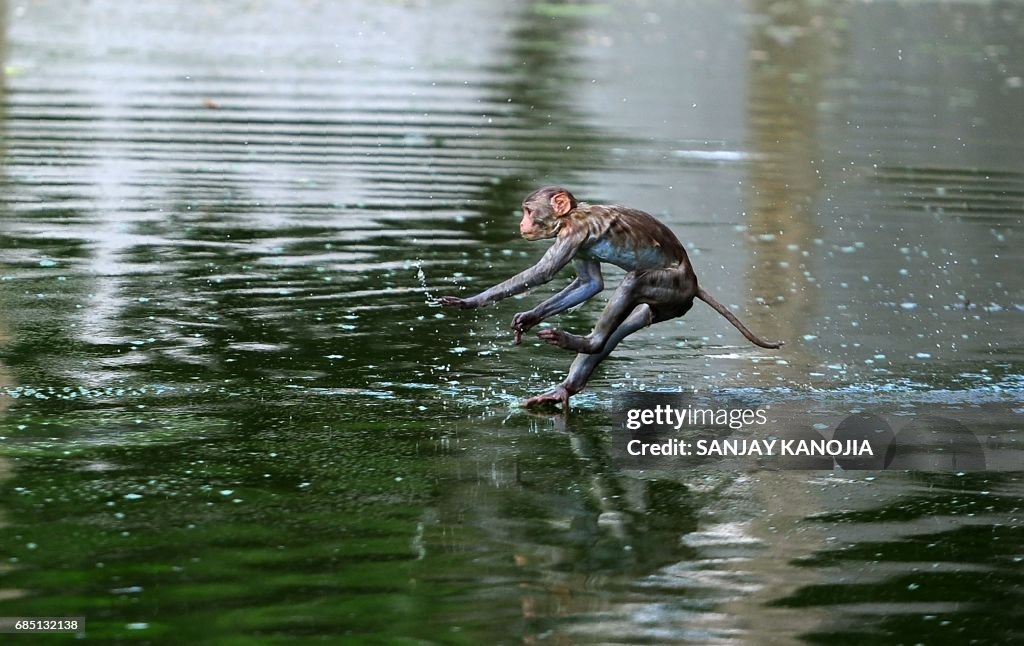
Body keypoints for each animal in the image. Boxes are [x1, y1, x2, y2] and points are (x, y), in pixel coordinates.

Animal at [436, 187, 778, 409]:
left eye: (529, 211)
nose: (521, 223)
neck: (571, 215)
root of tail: (694, 283)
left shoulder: (574, 233)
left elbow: (545, 274)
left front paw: (472, 301)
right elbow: (590, 284)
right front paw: (529, 318)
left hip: (672, 286)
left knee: (632, 284)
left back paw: (587, 343)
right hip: (668, 305)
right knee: (623, 328)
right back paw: (567, 387)